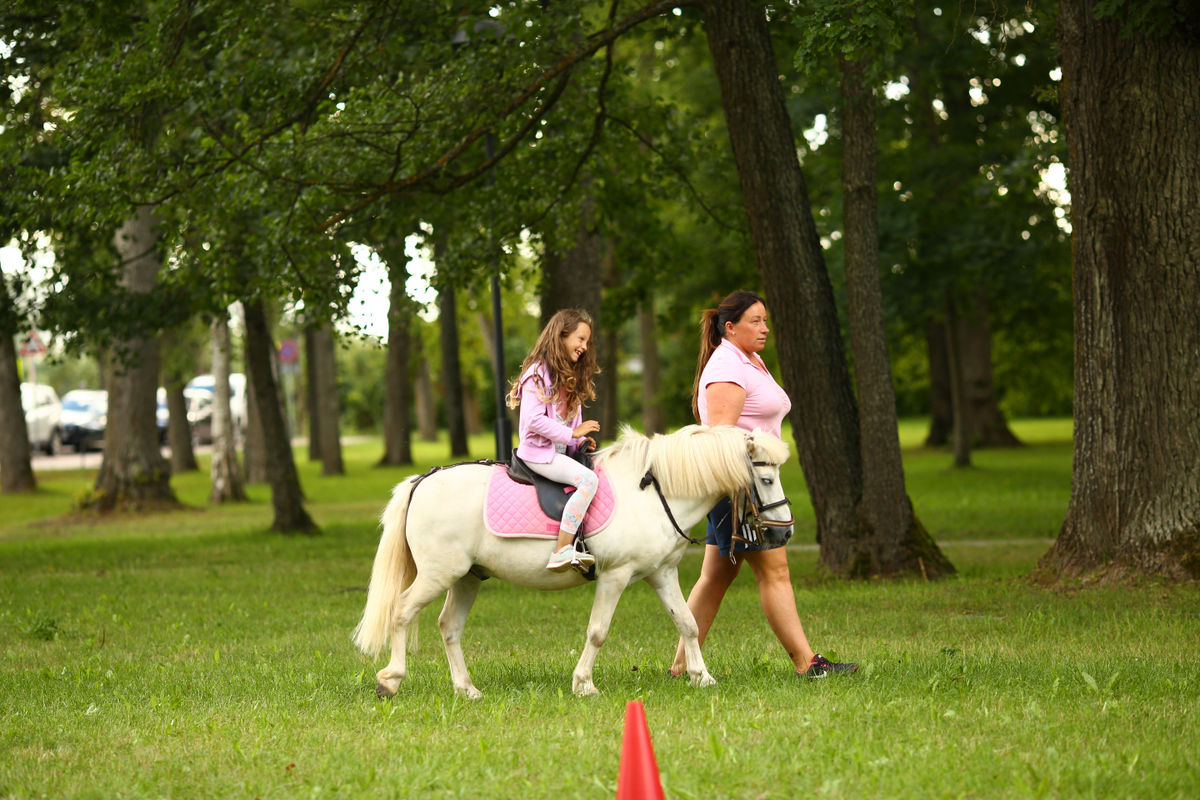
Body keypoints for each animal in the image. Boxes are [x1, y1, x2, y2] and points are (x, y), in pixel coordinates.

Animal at [353, 424, 794, 698]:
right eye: (766, 478)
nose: (784, 534)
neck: (655, 492)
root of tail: (423, 480)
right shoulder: (615, 576)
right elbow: (598, 631)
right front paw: (584, 683)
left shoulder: (661, 574)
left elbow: (688, 622)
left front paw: (702, 677)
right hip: (437, 575)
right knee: (401, 612)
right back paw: (390, 680)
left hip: (467, 577)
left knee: (449, 627)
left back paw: (467, 689)